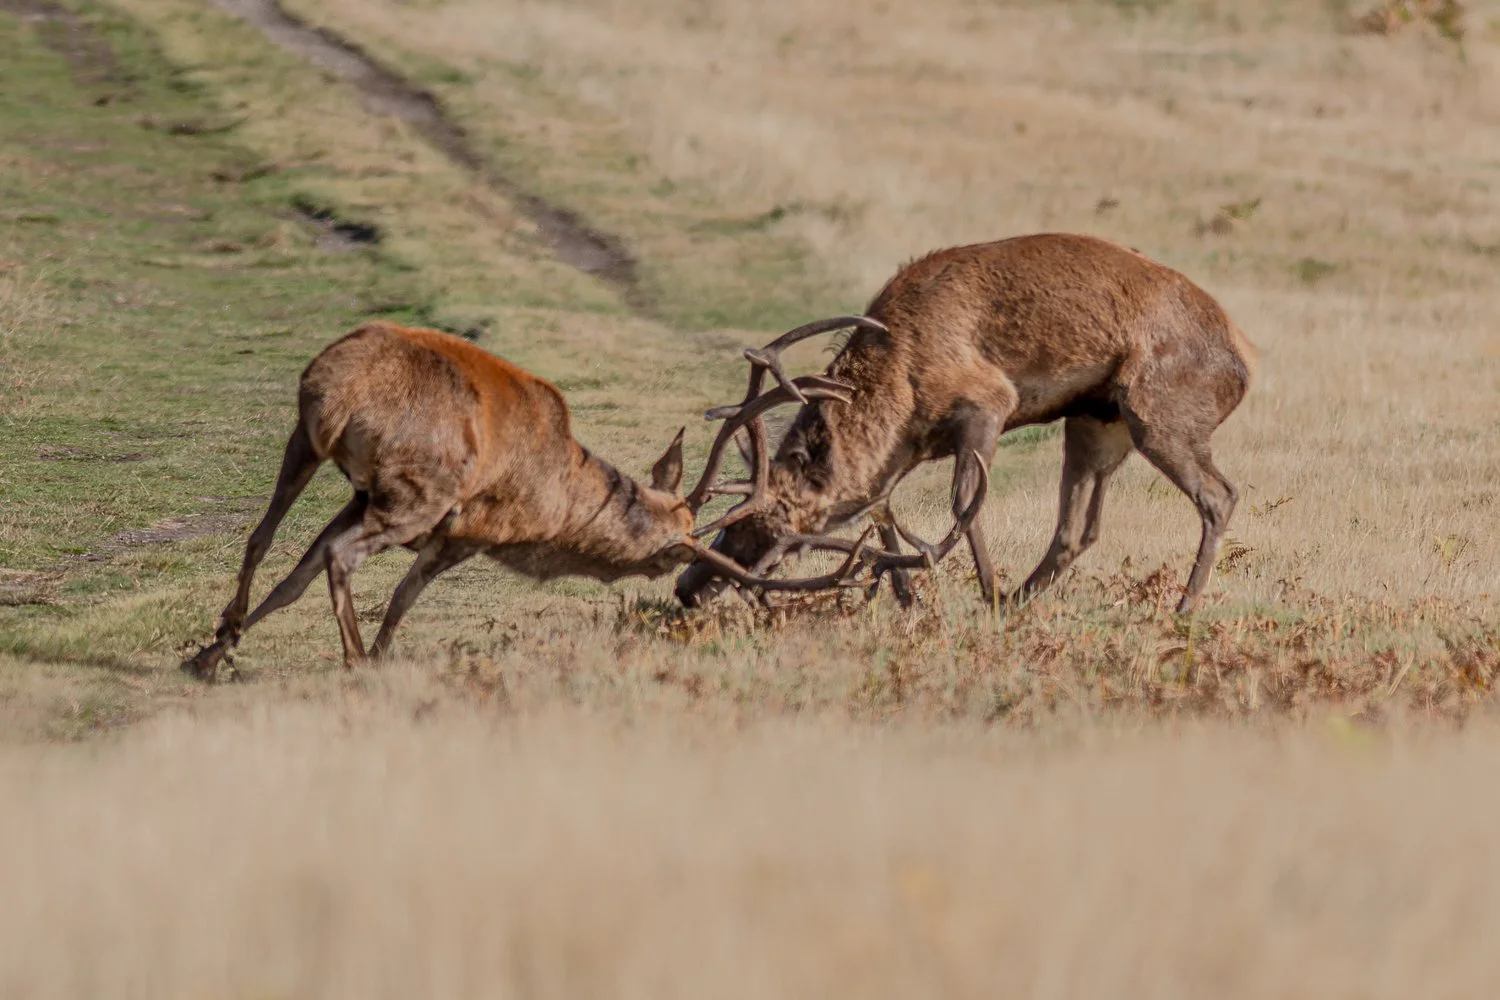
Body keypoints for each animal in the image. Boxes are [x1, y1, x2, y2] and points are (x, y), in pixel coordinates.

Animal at [180, 319, 918, 682]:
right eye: (662, 558)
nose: (687, 590)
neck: (558, 508)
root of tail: (341, 394)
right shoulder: (471, 529)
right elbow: (399, 601)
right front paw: (382, 655)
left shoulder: (365, 496)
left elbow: (294, 582)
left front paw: (214, 651)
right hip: (417, 492)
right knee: (342, 557)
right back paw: (356, 662)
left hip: (307, 442)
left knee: (266, 535)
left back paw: (215, 646)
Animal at [673, 232, 1258, 616]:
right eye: (727, 523)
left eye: (766, 536)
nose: (686, 588)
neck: (900, 394)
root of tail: (1244, 360)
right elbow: (882, 508)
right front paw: (907, 597)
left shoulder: (987, 403)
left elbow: (963, 503)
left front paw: (986, 590)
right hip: (1095, 421)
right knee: (1079, 528)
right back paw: (1022, 601)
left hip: (1159, 414)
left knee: (1219, 494)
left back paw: (1182, 609)